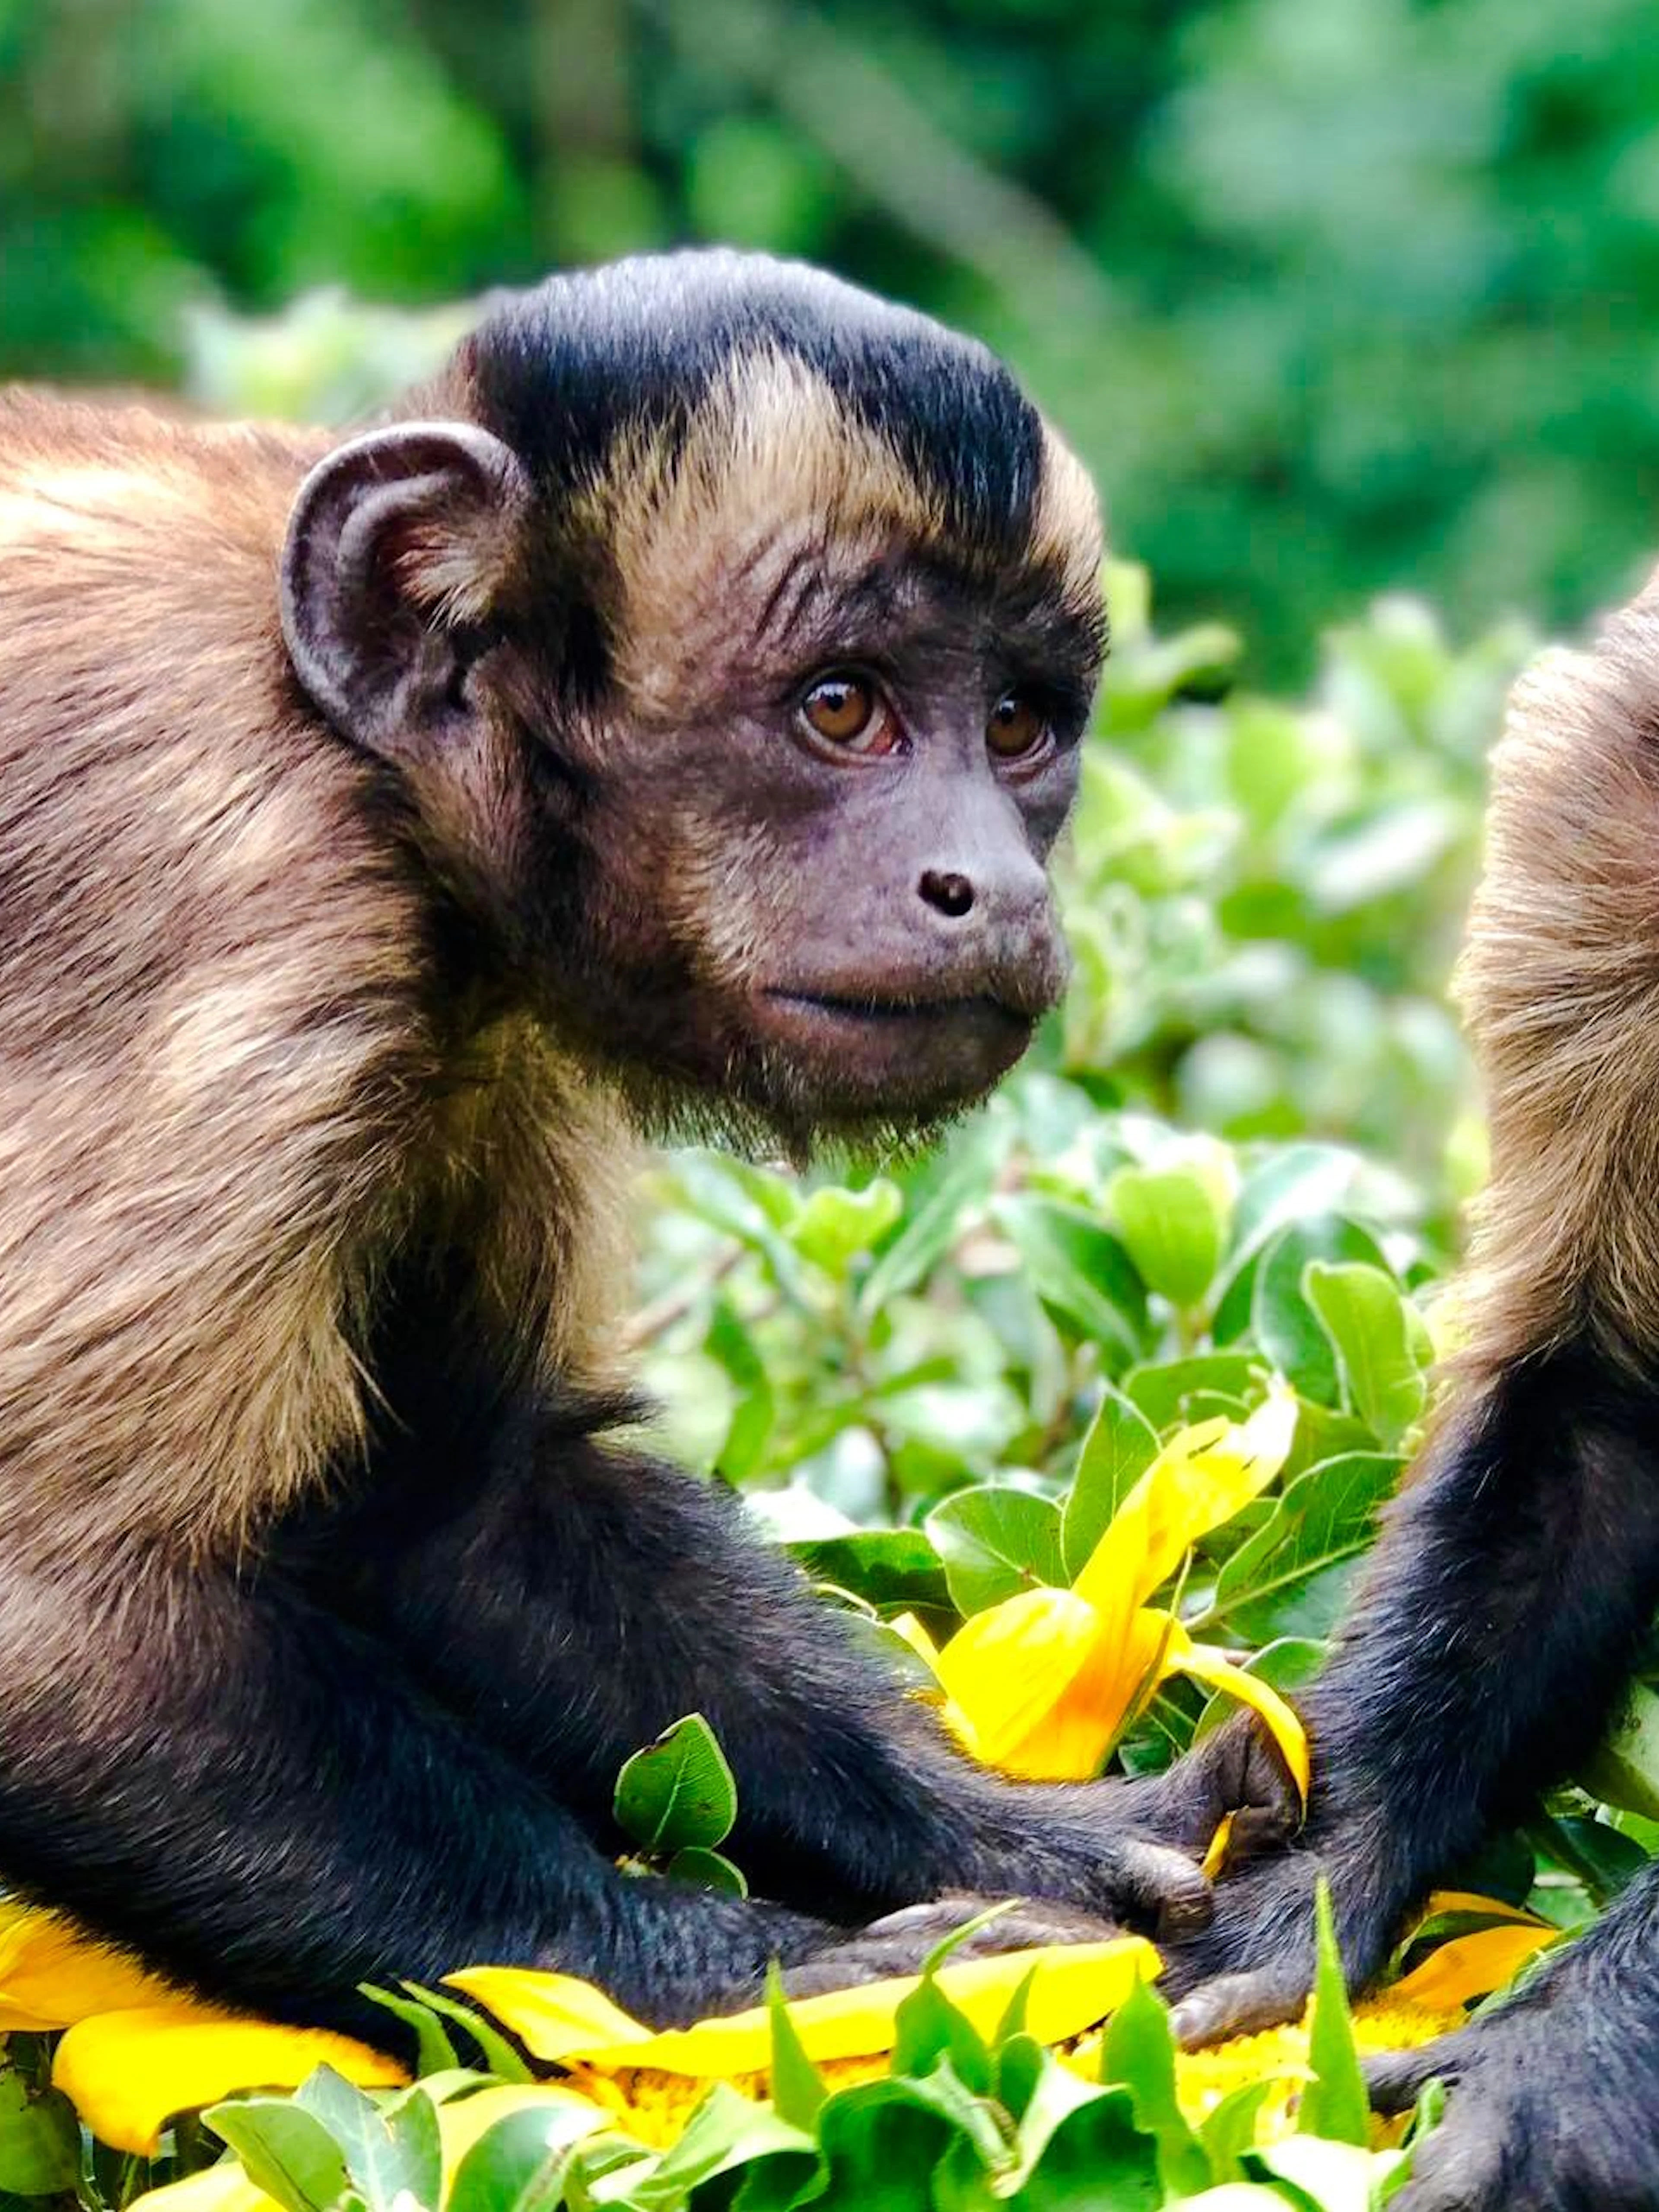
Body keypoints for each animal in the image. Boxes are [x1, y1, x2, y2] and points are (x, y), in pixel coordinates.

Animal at [0, 250, 1276, 2047]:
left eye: (1019, 728)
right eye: (842, 709)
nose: (997, 886)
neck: (371, 769)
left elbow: (460, 1514)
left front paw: (1029, 1835)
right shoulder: (235, 894)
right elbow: (53, 1613)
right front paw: (731, 1976)